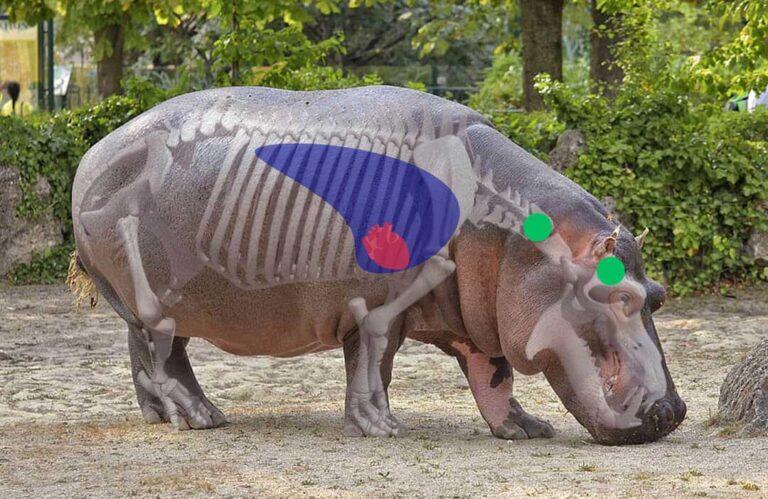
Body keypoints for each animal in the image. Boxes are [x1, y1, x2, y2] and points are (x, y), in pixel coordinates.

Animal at [70, 85, 686, 444]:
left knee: (142, 357)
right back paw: (202, 417)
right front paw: (383, 428)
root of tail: (89, 156)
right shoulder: (377, 309)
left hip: (143, 305)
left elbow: (494, 375)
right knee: (165, 357)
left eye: (657, 294)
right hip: (156, 304)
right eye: (620, 296)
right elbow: (373, 366)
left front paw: (526, 428)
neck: (514, 235)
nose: (674, 411)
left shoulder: (481, 320)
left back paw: (165, 417)